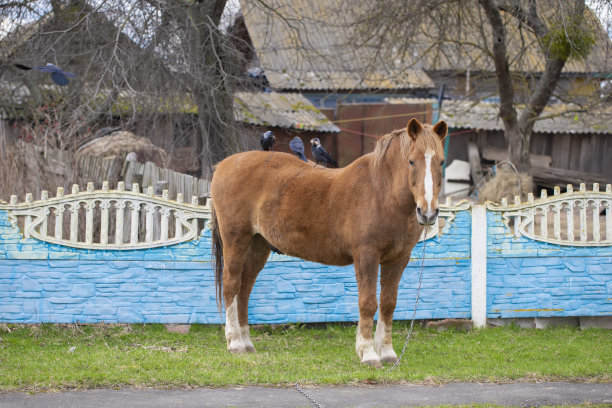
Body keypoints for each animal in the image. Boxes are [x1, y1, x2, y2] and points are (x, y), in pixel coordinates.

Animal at [213, 117, 448, 366]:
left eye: (441, 162)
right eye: (411, 161)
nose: (428, 212)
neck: (381, 192)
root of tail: (223, 165)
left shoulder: (398, 259)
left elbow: (388, 303)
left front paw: (387, 353)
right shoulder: (366, 257)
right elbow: (368, 303)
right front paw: (368, 353)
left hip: (258, 246)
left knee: (244, 290)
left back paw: (246, 342)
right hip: (236, 241)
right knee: (231, 285)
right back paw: (235, 343)